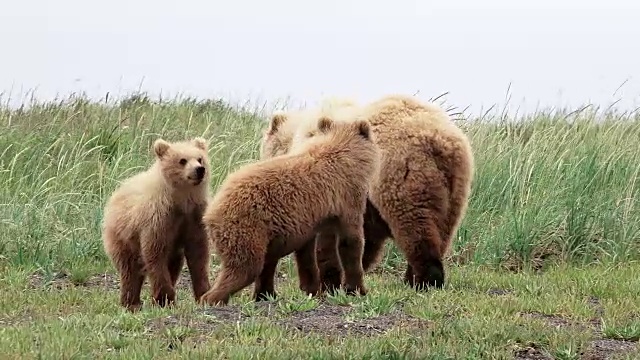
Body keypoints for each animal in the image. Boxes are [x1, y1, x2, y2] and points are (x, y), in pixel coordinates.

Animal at [102, 136, 212, 310]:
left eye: (200, 158)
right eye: (182, 160)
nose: (199, 170)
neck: (181, 202)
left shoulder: (194, 218)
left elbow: (198, 254)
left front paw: (204, 293)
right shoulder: (158, 219)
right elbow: (155, 254)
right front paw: (164, 298)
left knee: (173, 264)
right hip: (122, 236)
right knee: (130, 269)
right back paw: (131, 302)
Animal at [199, 116, 380, 306]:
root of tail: (211, 211)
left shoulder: (318, 216)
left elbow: (308, 250)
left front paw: (313, 289)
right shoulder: (347, 198)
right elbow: (351, 241)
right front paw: (358, 288)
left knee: (264, 263)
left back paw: (266, 293)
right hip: (246, 226)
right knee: (246, 267)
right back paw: (213, 298)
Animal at [260, 95, 476, 292]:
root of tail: (439, 139)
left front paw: (329, 282)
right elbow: (364, 241)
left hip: (400, 176)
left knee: (416, 228)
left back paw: (426, 281)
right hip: (456, 189)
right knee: (443, 230)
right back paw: (412, 279)